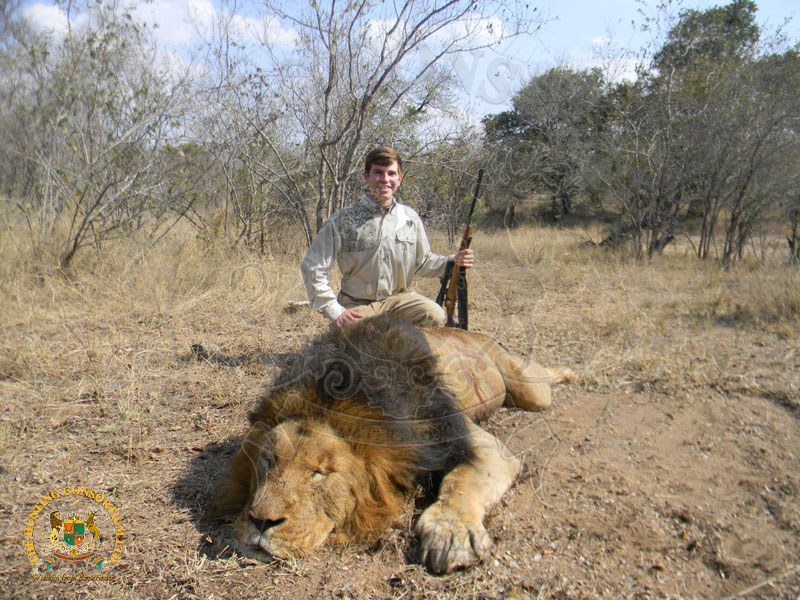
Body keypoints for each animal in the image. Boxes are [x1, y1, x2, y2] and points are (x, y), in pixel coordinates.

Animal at [214, 314, 574, 574]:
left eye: (320, 473)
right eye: (268, 461)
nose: (262, 522)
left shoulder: (472, 439)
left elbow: (463, 479)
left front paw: (452, 532)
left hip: (528, 390)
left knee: (541, 378)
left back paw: (569, 372)